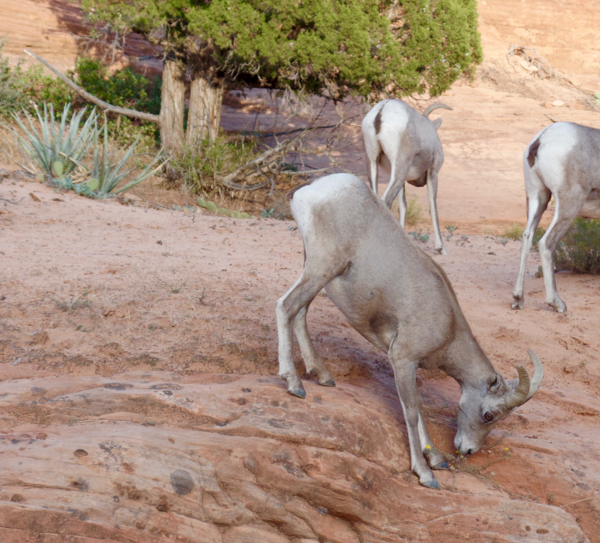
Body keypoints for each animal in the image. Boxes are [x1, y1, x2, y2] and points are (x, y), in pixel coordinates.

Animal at [276, 176, 544, 490]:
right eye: (489, 414)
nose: (467, 450)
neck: (448, 327)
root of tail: (314, 188)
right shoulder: (403, 359)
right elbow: (412, 411)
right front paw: (426, 474)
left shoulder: (409, 365)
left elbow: (418, 405)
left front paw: (437, 460)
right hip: (321, 267)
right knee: (286, 306)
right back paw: (294, 384)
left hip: (314, 269)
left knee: (300, 312)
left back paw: (322, 376)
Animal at [360, 99, 450, 256]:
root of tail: (382, 111)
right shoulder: (433, 173)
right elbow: (433, 209)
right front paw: (441, 248)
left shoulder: (401, 180)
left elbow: (403, 206)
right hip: (399, 168)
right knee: (385, 201)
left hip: (374, 163)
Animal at [510, 121, 600, 312]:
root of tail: (542, 139)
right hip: (569, 204)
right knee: (546, 243)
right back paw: (557, 303)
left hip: (538, 197)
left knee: (526, 238)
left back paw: (518, 299)